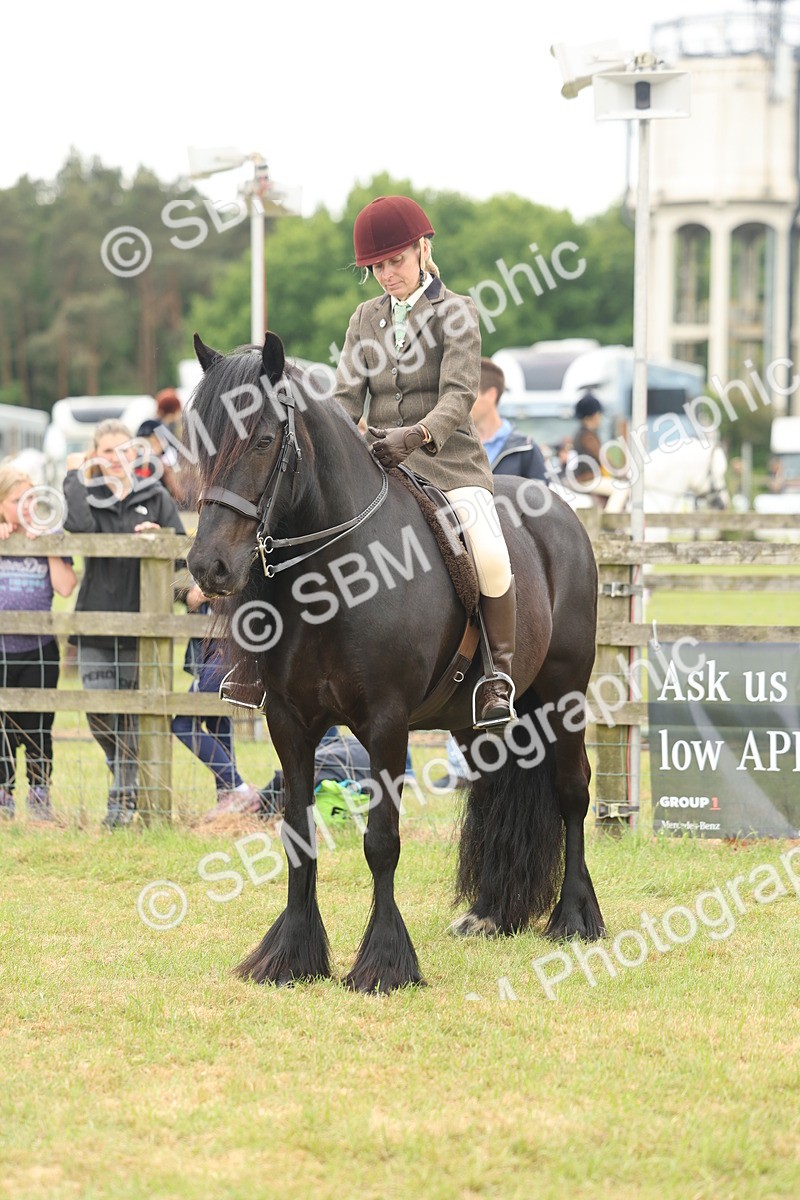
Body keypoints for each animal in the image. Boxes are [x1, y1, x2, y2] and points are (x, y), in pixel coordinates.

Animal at [186, 332, 605, 993]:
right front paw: (291, 956)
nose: (209, 567)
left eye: (262, 440)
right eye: (200, 442)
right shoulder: (289, 722)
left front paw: (383, 962)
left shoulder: (385, 725)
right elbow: (298, 835)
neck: (336, 575)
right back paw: (492, 914)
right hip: (482, 720)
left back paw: (576, 918)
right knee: (495, 790)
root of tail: (558, 509)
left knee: (571, 793)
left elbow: (381, 841)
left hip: (564, 696)